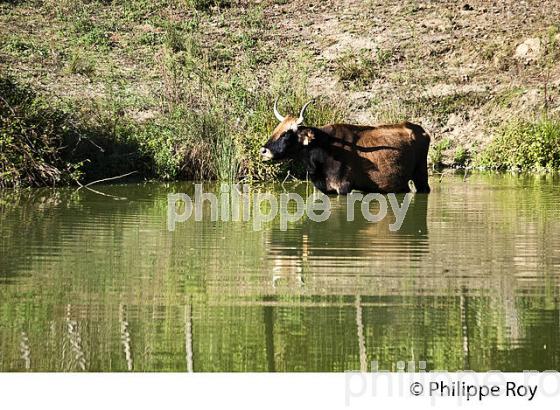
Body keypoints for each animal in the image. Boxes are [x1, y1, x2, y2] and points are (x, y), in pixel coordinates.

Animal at [260, 99, 430, 195]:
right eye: (277, 129)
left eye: (287, 133)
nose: (263, 150)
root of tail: (421, 130)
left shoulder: (343, 187)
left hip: (421, 176)